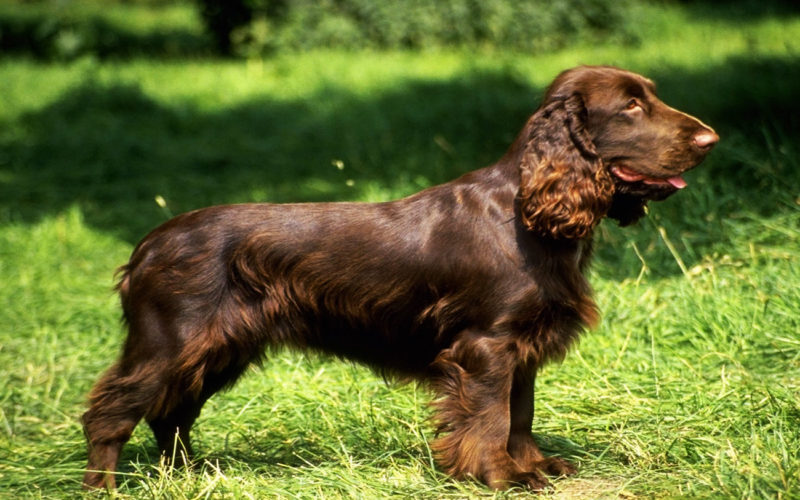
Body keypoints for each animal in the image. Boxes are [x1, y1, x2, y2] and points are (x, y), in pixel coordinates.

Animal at [83, 65, 720, 488]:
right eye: (631, 106)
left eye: (650, 97)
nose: (711, 139)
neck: (526, 213)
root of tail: (145, 247)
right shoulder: (486, 344)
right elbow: (491, 416)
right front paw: (498, 476)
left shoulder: (523, 346)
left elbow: (522, 413)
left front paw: (533, 466)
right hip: (171, 341)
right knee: (110, 413)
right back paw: (106, 488)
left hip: (218, 348)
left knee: (171, 413)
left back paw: (188, 478)